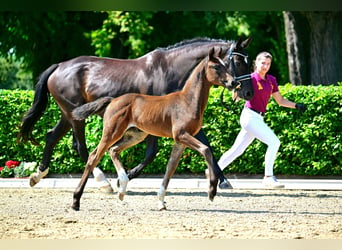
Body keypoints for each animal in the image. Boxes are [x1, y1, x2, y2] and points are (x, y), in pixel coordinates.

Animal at [72, 47, 236, 210]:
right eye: (216, 66)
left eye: (226, 65)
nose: (233, 82)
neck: (187, 101)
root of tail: (113, 100)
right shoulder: (181, 135)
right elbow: (206, 150)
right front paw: (212, 191)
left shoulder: (180, 141)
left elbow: (170, 168)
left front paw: (161, 202)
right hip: (112, 132)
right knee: (94, 156)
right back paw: (76, 200)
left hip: (135, 135)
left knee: (113, 150)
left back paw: (122, 189)